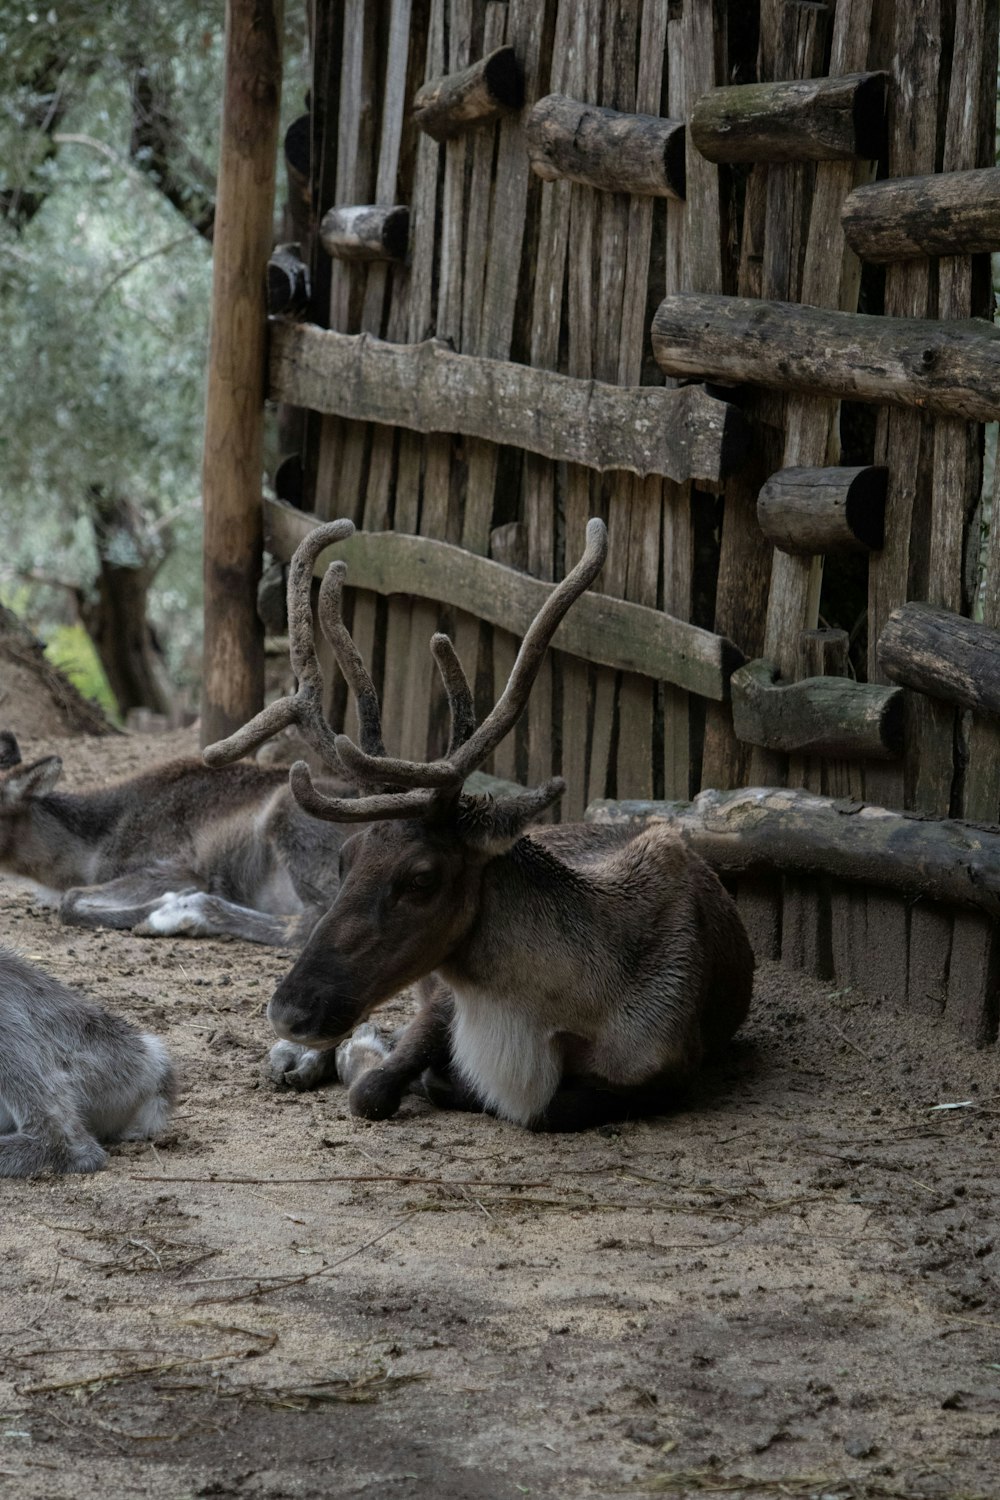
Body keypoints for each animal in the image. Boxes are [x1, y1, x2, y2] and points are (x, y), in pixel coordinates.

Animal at [0, 528, 359, 948]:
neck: (85, 854)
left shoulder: (173, 864)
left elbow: (71, 902)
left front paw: (167, 904)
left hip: (293, 820)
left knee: (311, 923)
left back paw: (183, 915)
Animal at [206, 516, 755, 1128]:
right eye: (345, 859)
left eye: (423, 878)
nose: (288, 1009)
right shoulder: (445, 998)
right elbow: (377, 1086)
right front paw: (356, 1055)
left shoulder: (670, 1072)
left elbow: (529, 1103)